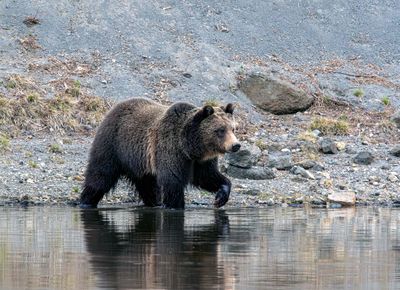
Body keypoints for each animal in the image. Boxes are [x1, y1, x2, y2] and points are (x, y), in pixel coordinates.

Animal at [79, 97, 239, 208]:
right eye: (220, 130)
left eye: (233, 128)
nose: (236, 145)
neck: (190, 147)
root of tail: (114, 108)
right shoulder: (171, 149)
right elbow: (173, 181)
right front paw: (175, 205)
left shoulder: (201, 160)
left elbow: (207, 177)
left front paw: (221, 197)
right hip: (113, 145)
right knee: (100, 175)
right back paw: (86, 201)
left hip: (141, 163)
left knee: (147, 184)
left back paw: (154, 202)